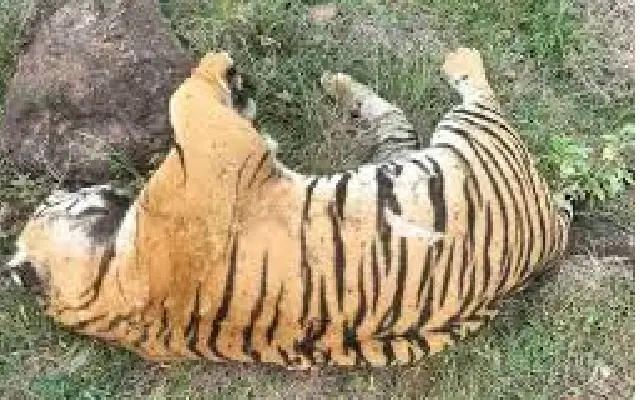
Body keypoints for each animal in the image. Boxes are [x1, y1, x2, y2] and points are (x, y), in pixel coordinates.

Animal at [5, 48, 571, 368]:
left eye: (53, 198)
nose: (100, 187)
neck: (107, 295)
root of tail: (549, 230)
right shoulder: (214, 149)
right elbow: (186, 94)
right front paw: (220, 66)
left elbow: (202, 101)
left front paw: (237, 86)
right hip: (470, 138)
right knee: (475, 90)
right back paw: (456, 56)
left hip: (401, 156)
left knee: (392, 121)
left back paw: (336, 82)